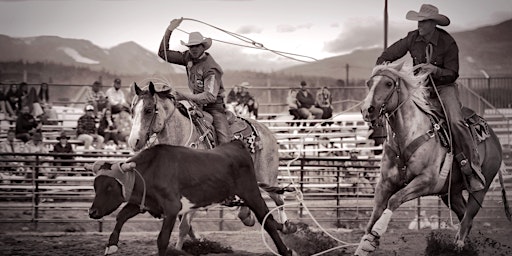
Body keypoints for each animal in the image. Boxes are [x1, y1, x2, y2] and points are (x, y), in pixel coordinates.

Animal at [87, 140, 292, 256]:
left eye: (110, 186)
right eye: (95, 186)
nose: (92, 212)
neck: (151, 170)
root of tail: (236, 145)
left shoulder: (172, 208)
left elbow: (162, 239)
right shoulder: (145, 203)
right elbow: (121, 216)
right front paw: (111, 245)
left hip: (251, 192)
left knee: (268, 220)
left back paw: (285, 250)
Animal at [127, 81, 296, 250]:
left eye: (148, 110)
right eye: (132, 110)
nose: (133, 141)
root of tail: (266, 129)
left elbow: (183, 227)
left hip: (267, 175)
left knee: (279, 199)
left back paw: (287, 226)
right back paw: (248, 216)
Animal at [354, 62, 510, 256]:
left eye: (388, 84)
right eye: (369, 83)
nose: (367, 110)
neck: (408, 136)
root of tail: (495, 139)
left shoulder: (426, 181)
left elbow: (394, 200)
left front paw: (377, 231)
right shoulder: (385, 183)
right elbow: (376, 211)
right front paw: (365, 244)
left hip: (481, 188)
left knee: (467, 218)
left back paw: (456, 246)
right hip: (451, 193)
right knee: (464, 217)